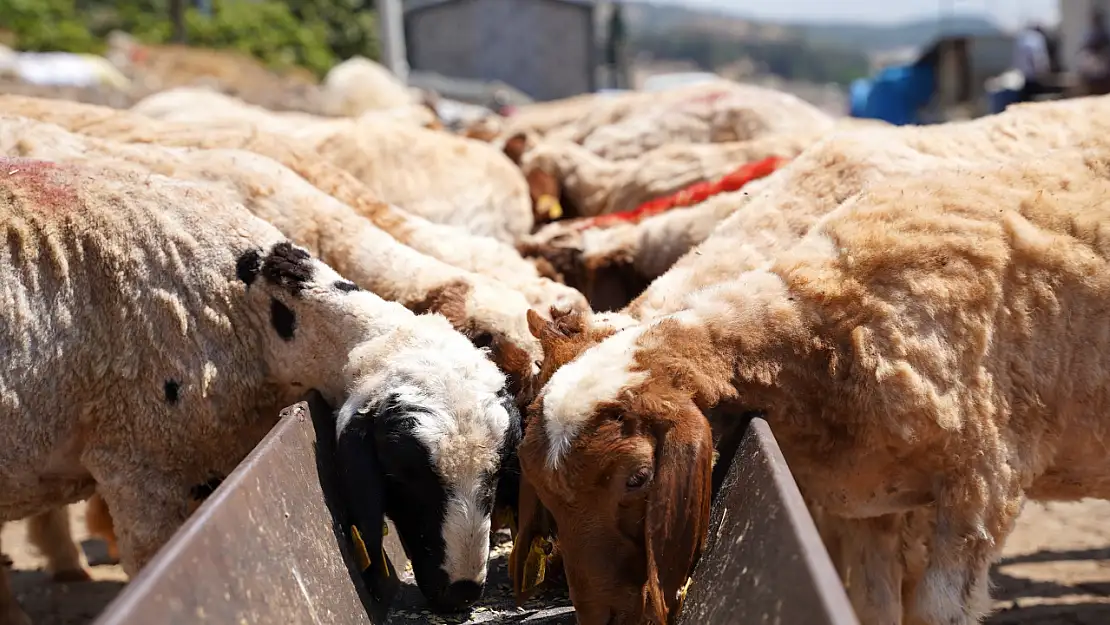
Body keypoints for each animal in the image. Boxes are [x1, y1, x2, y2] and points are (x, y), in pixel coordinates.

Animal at [517, 144, 1110, 621]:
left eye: (639, 479)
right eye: (541, 489)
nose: (602, 619)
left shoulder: (980, 490)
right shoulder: (872, 502)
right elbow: (872, 606)